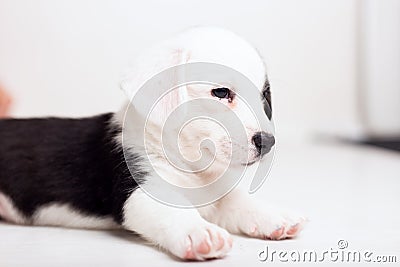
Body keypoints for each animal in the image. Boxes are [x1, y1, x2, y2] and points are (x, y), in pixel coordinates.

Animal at [0, 27, 304, 262]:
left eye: (264, 96)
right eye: (220, 92)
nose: (268, 142)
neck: (192, 165)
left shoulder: (218, 196)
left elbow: (240, 201)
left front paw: (273, 216)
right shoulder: (141, 192)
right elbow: (174, 211)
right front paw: (199, 232)